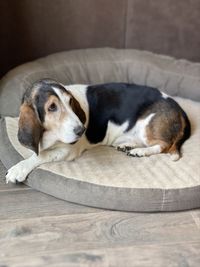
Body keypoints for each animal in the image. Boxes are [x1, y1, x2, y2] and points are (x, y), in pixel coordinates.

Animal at [5, 79, 191, 184]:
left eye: (70, 101)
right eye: (52, 107)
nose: (81, 130)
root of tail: (180, 110)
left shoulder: (67, 150)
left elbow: (40, 156)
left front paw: (18, 169)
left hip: (147, 126)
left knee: (164, 146)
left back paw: (140, 151)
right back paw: (128, 145)